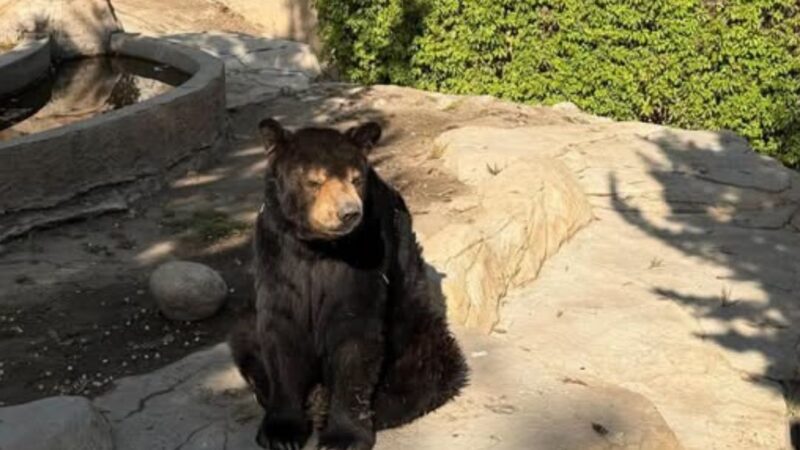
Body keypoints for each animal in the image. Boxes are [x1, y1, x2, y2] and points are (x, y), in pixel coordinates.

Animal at [228, 117, 468, 450]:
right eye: (314, 181)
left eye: (355, 179)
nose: (349, 212)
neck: (317, 247)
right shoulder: (276, 250)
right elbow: (281, 327)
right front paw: (282, 431)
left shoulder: (366, 250)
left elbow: (353, 329)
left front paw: (341, 436)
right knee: (245, 335)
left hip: (414, 324)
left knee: (424, 369)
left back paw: (331, 403)